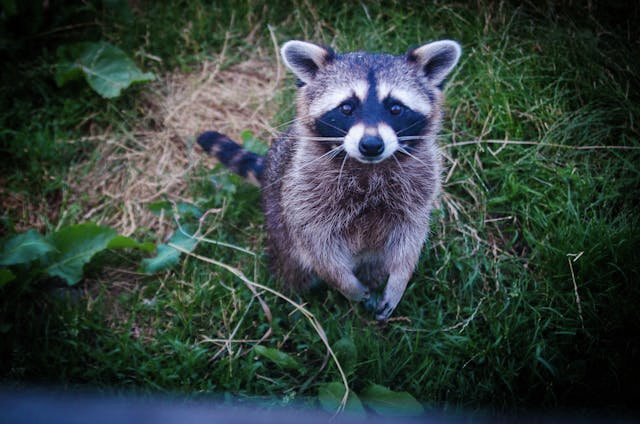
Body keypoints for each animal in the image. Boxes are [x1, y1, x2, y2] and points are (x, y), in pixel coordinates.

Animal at [198, 39, 461, 321]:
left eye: (395, 108)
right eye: (346, 107)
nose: (371, 145)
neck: (368, 167)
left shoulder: (419, 186)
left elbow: (410, 238)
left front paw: (400, 279)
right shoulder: (305, 192)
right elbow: (317, 247)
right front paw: (346, 284)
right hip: (278, 221)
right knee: (292, 269)